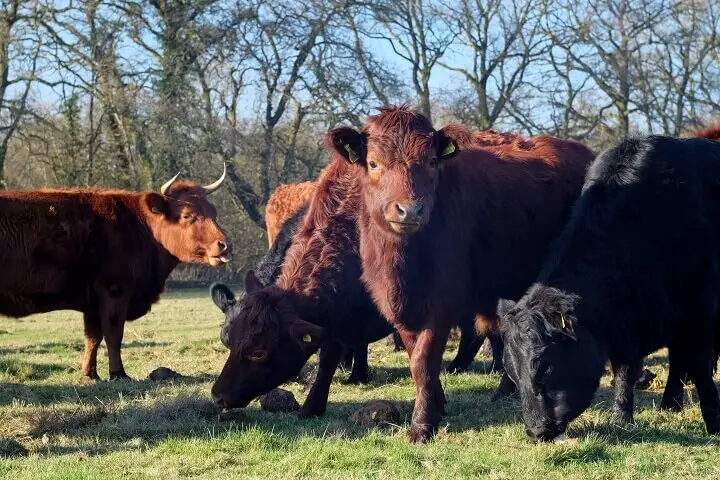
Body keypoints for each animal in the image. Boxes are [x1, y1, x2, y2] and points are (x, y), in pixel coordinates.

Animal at [0, 167, 231, 380]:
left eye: (214, 212)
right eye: (187, 215)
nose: (225, 244)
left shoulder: (92, 303)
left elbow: (93, 337)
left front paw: (90, 374)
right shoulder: (114, 291)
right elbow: (113, 334)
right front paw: (118, 373)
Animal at [330, 106, 592, 442]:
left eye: (430, 161)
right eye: (374, 163)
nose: (409, 210)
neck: (403, 265)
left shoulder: (442, 304)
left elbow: (424, 362)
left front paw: (422, 425)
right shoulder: (400, 309)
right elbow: (416, 357)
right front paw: (437, 405)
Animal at [500, 135, 720, 442]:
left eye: (545, 369)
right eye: (512, 373)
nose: (535, 431)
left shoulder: (699, 311)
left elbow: (700, 368)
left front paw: (714, 422)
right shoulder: (626, 329)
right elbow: (624, 373)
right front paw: (622, 418)